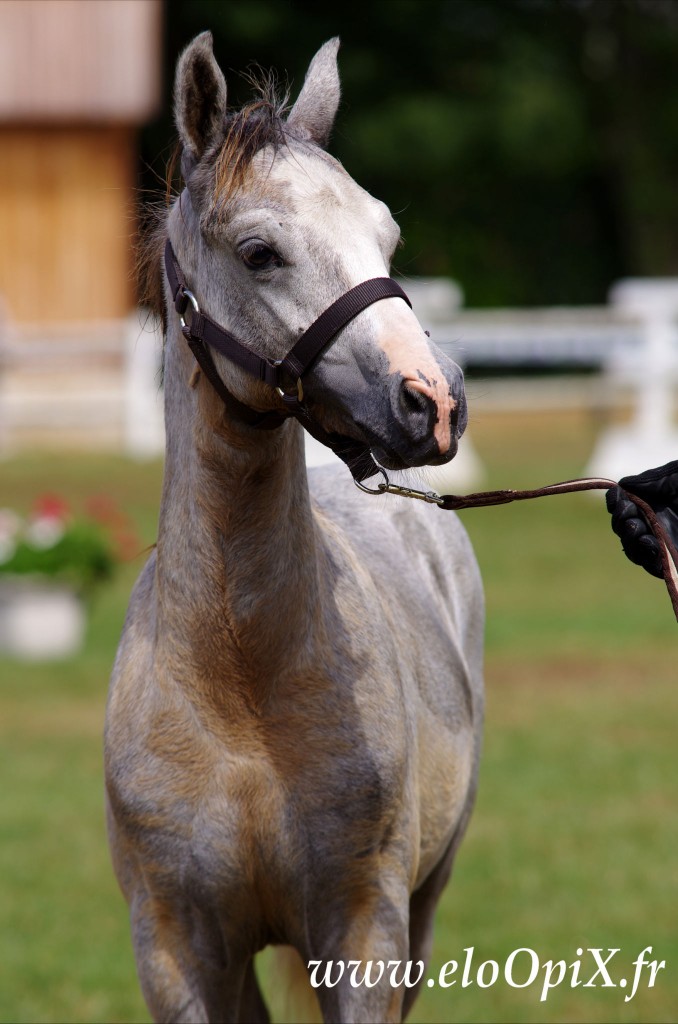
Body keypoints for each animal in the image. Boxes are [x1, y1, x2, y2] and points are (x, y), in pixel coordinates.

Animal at [106, 32, 485, 1024]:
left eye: (386, 236)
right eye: (259, 252)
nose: (432, 401)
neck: (239, 688)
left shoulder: (363, 932)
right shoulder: (178, 952)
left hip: (424, 910)